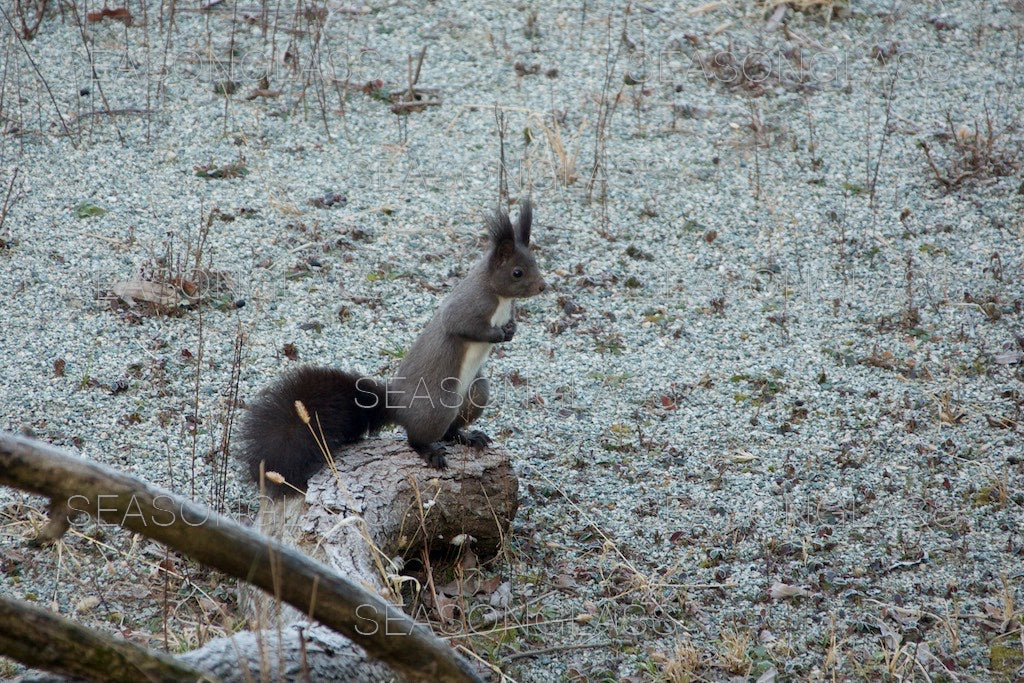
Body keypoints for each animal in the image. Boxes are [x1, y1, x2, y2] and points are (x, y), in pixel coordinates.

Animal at [237, 200, 544, 493]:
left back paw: (467, 436)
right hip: (438, 407)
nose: (543, 287)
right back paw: (430, 452)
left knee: (451, 429)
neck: (500, 299)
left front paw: (512, 330)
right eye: (517, 272)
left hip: (476, 393)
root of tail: (396, 406)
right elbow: (461, 325)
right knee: (416, 438)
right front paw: (498, 334)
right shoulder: (469, 305)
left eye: (535, 262)